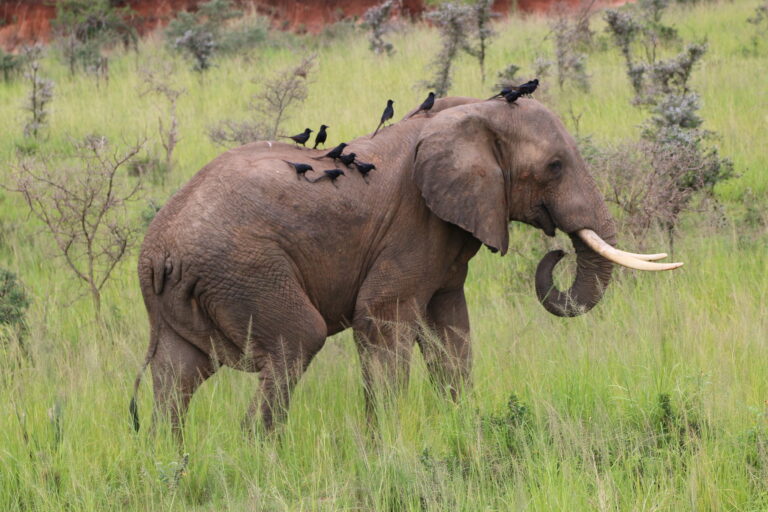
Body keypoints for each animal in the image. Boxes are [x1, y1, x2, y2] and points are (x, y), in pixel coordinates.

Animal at [132, 95, 684, 432]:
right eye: (554, 166)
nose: (558, 249)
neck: (472, 110)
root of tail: (157, 251)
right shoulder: (412, 227)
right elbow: (383, 322)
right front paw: (386, 445)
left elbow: (451, 333)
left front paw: (463, 426)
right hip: (244, 268)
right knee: (295, 340)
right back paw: (260, 453)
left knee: (175, 375)